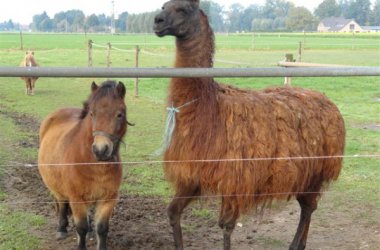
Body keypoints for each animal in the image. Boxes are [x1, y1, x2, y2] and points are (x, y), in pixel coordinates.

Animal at [38, 81, 131, 249]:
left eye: (119, 114)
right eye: (92, 114)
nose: (101, 150)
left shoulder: (108, 199)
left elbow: (102, 228)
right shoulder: (76, 198)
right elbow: (81, 227)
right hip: (58, 189)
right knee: (62, 203)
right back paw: (61, 229)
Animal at [153, 0, 346, 250]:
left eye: (183, 9)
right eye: (163, 6)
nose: (157, 21)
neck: (208, 107)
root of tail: (328, 101)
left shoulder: (235, 179)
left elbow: (226, 226)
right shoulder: (192, 174)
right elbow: (172, 212)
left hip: (317, 169)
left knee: (308, 206)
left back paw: (296, 244)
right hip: (305, 171)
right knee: (308, 205)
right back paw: (299, 244)